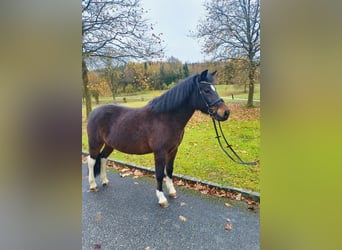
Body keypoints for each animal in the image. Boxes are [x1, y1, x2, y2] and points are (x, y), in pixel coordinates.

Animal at [86, 69, 230, 207]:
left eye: (214, 88)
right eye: (206, 90)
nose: (226, 112)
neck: (166, 118)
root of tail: (93, 112)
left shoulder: (173, 150)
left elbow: (169, 170)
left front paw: (172, 192)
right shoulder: (160, 152)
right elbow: (160, 174)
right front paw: (161, 199)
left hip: (109, 144)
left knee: (103, 158)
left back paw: (105, 181)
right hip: (95, 143)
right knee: (91, 161)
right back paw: (93, 185)